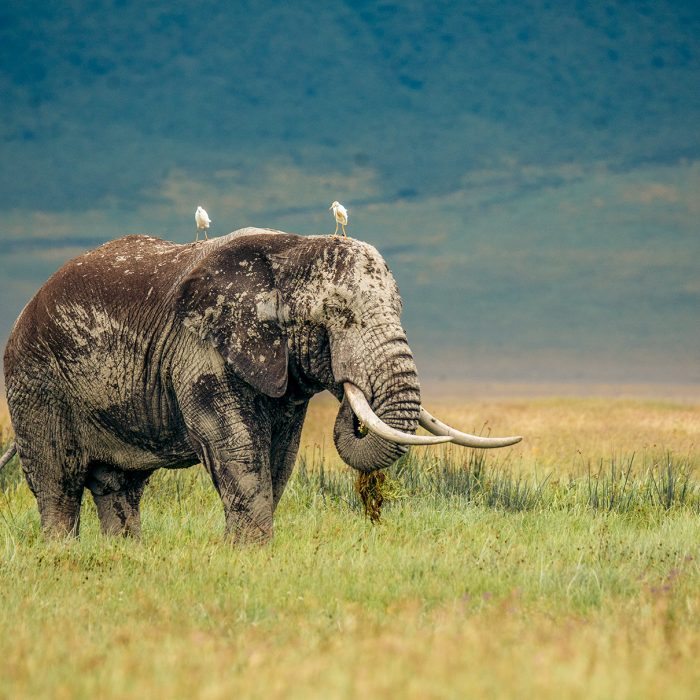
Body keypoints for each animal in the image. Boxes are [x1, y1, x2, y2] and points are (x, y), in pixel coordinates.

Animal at [1, 228, 521, 542]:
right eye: (341, 316)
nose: (351, 401)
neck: (292, 252)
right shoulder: (200, 350)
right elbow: (236, 447)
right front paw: (247, 554)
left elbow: (279, 456)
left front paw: (252, 555)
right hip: (35, 381)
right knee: (57, 483)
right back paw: (63, 554)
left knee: (119, 487)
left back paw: (125, 553)